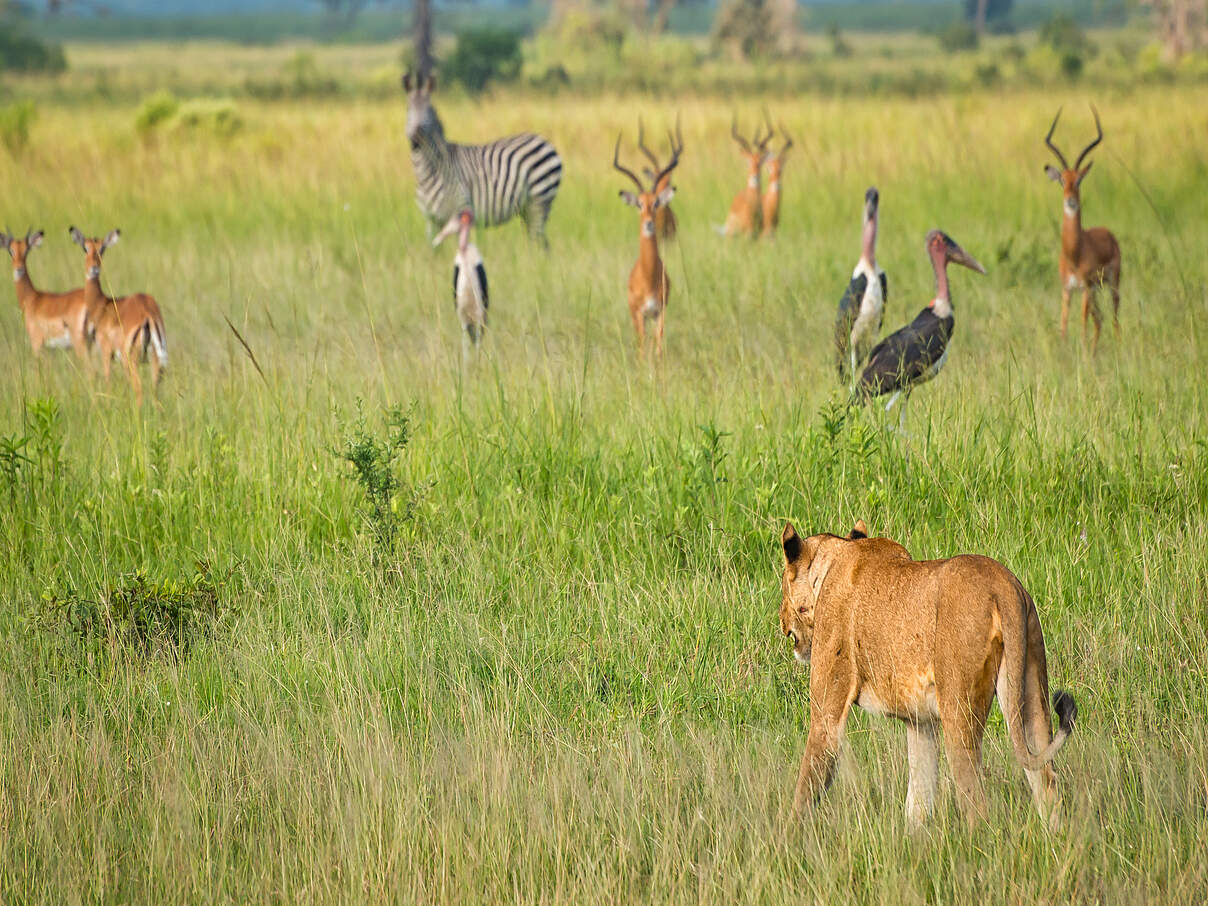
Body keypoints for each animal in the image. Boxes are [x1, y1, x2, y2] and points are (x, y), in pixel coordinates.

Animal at [403, 72, 562, 247]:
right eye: (408, 109)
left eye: (430, 109)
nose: (417, 136)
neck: (428, 171)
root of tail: (545, 141)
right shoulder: (431, 221)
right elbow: (433, 249)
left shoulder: (459, 209)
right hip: (527, 207)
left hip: (540, 199)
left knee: (538, 241)